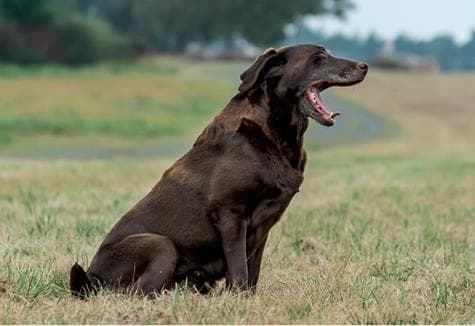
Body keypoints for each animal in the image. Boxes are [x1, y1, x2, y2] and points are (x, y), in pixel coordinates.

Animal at [69, 44, 368, 298]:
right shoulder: (231, 214)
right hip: (160, 245)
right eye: (319, 58)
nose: (364, 65)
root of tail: (93, 277)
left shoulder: (262, 228)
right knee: (138, 292)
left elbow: (252, 273)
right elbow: (239, 271)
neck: (275, 133)